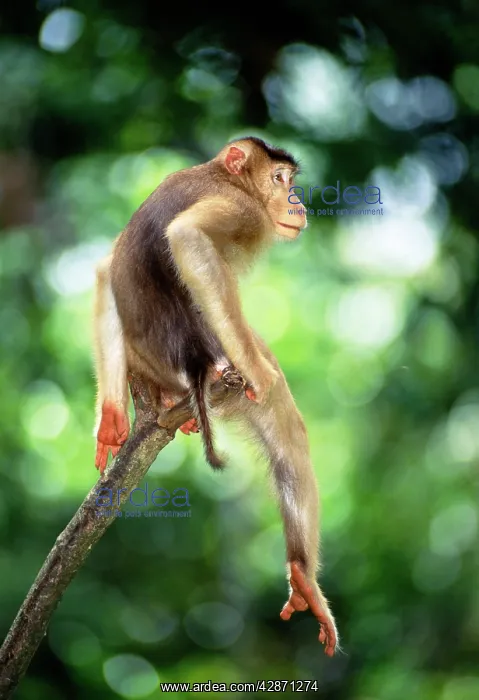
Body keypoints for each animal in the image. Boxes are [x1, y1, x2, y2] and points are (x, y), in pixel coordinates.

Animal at [92, 136, 338, 656]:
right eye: (280, 180)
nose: (298, 203)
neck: (224, 177)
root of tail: (192, 367)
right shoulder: (242, 210)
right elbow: (188, 237)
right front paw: (261, 373)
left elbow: (105, 268)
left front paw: (110, 418)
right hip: (221, 361)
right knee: (282, 416)